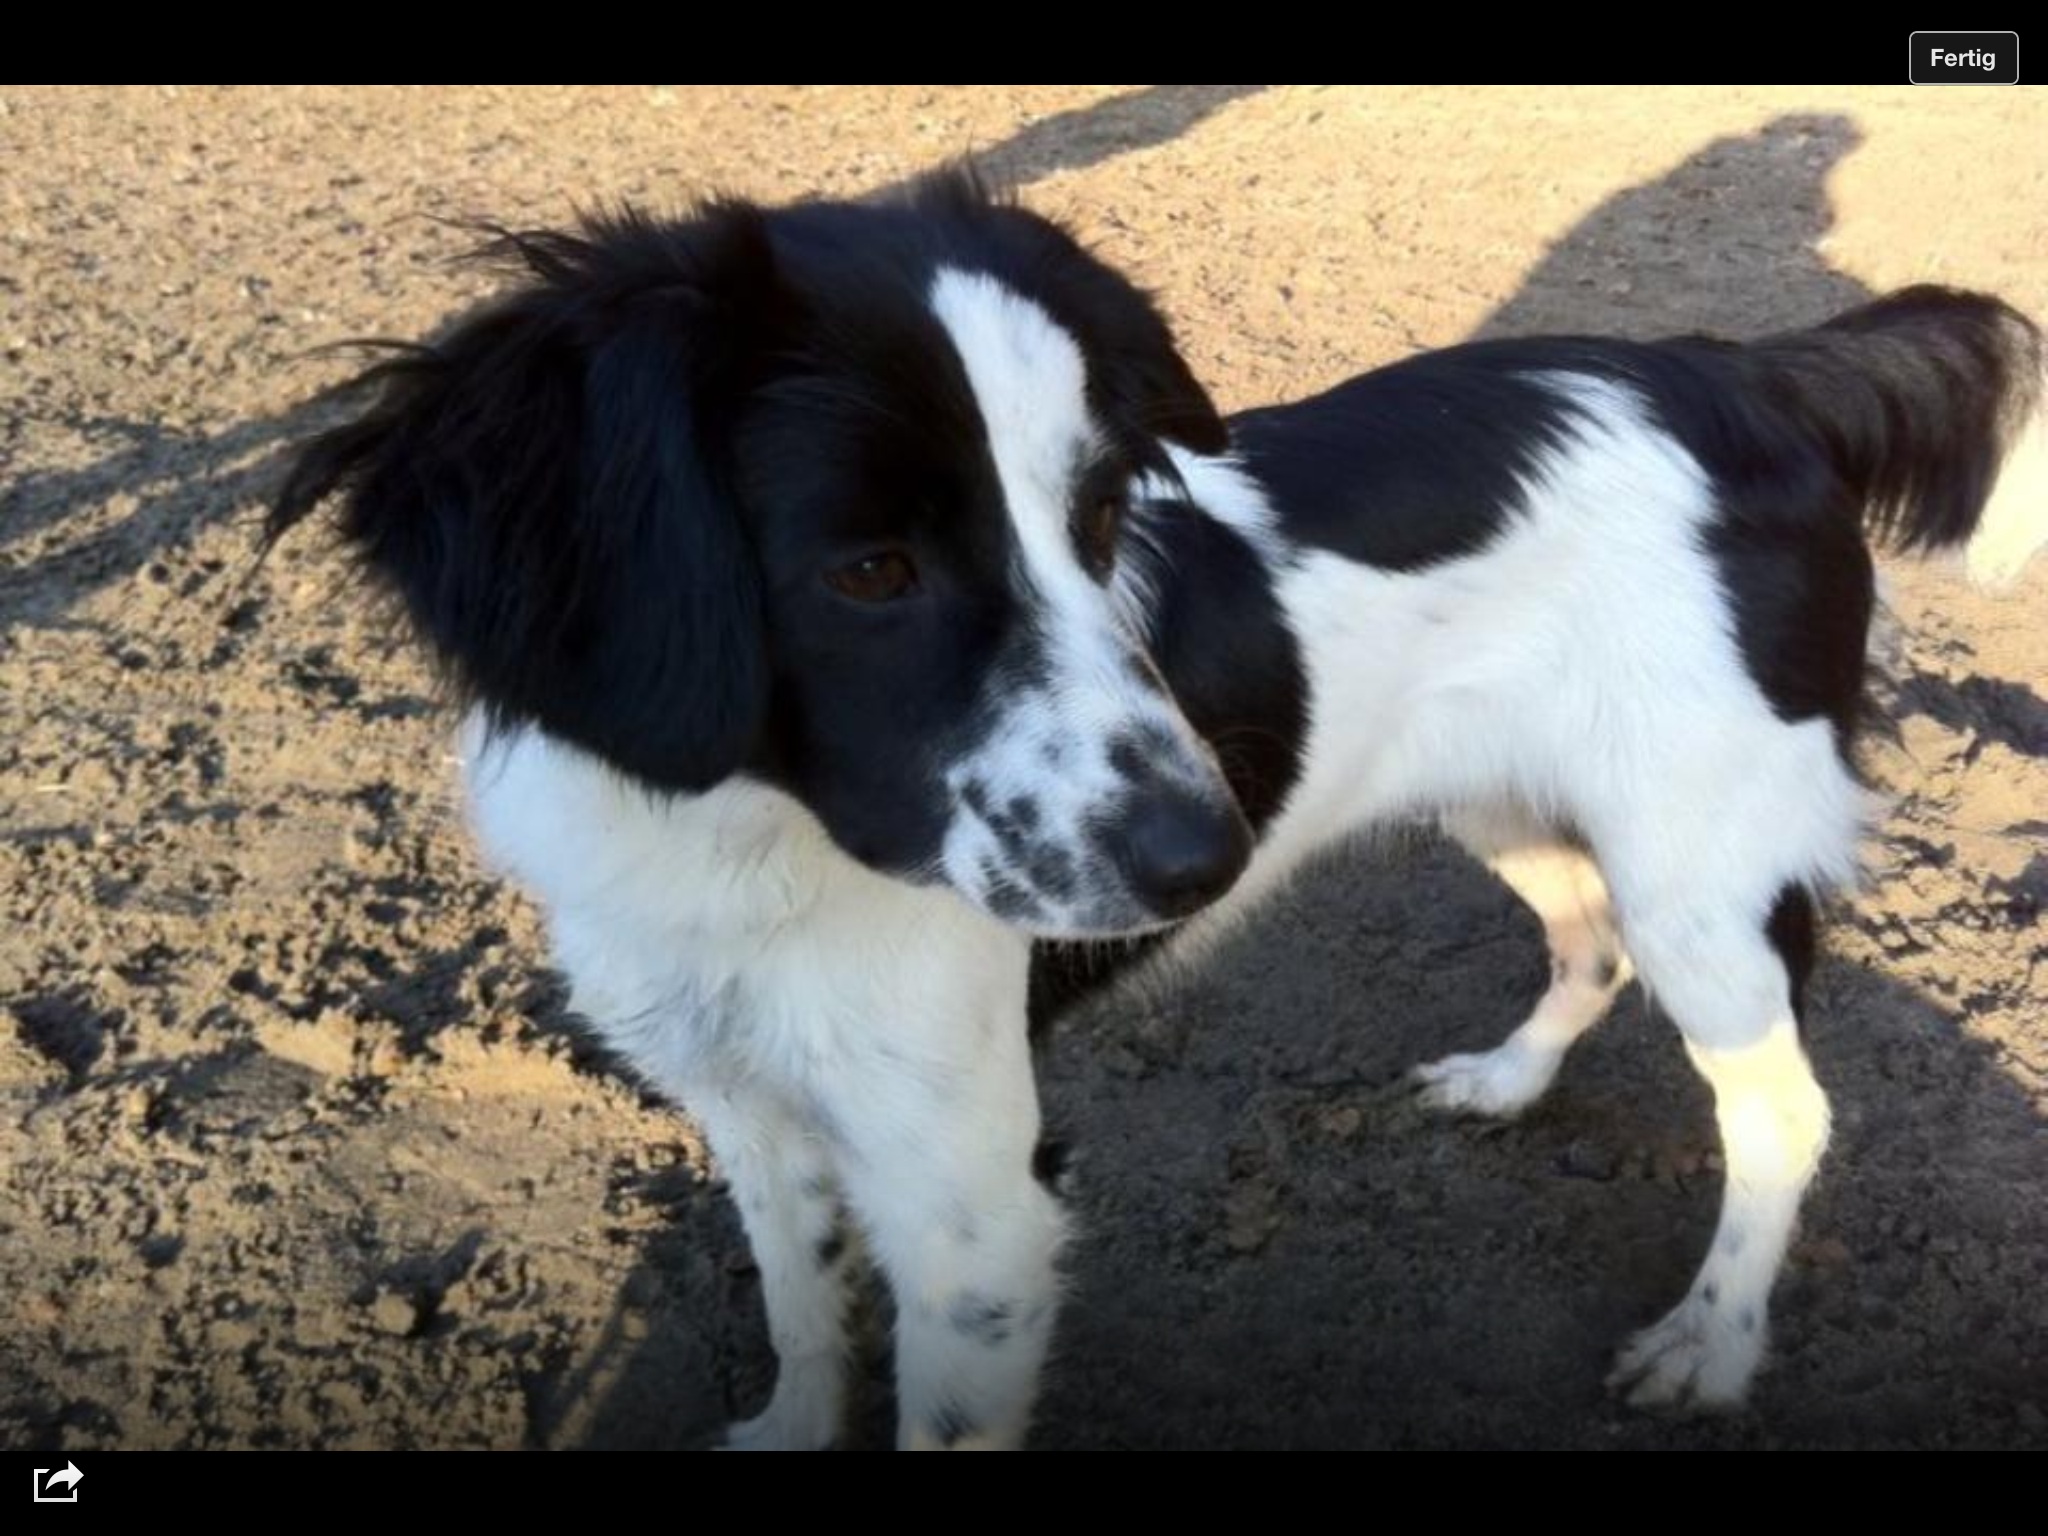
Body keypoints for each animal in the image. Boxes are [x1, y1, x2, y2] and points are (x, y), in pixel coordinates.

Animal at [264, 174, 2039, 1449]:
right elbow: (797, 1311)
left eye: (1109, 514)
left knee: (1782, 1109)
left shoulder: (974, 1205)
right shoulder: (749, 1109)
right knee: (1586, 947)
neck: (751, 841)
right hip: (1514, 803)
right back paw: (1505, 1082)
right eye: (868, 570)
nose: (1212, 857)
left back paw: (1710, 1348)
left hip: (1700, 868)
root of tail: (1745, 373)